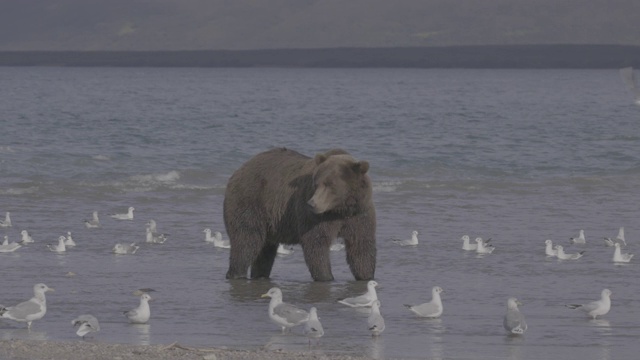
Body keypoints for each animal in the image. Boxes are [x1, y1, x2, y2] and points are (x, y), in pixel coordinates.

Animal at [224, 147, 376, 282]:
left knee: (265, 250)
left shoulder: (359, 214)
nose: (312, 204)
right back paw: (237, 273)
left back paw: (260, 275)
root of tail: (239, 170)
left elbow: (361, 245)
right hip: (251, 203)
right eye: (317, 184)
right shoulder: (314, 216)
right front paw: (326, 276)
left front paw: (366, 275)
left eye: (330, 184)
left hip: (269, 222)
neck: (340, 209)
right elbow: (316, 243)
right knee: (246, 241)